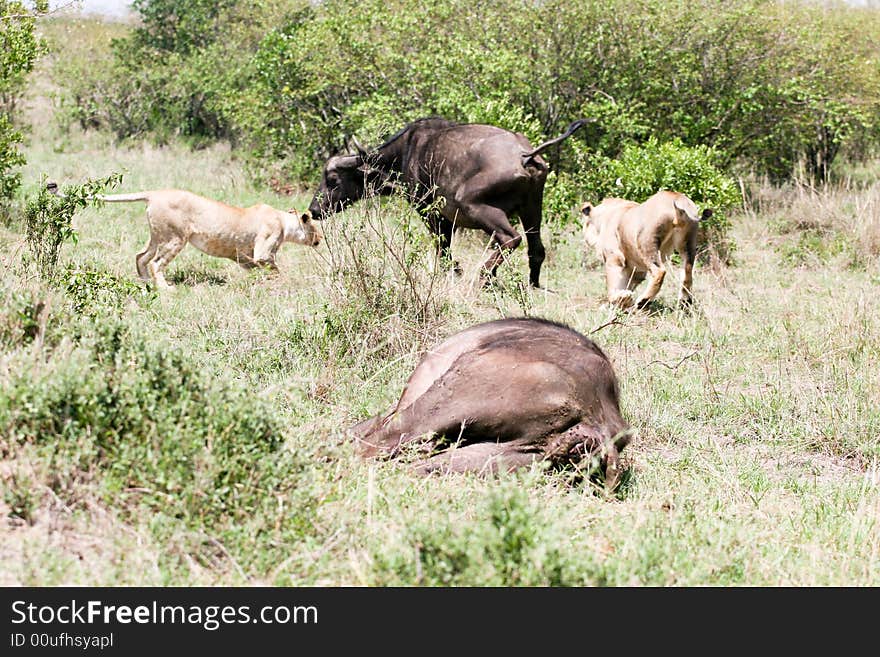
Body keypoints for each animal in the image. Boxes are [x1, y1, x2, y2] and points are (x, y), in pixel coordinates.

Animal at [92, 188, 324, 288]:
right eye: (313, 225)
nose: (320, 238)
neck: (284, 222)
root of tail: (155, 193)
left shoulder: (243, 256)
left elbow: (256, 268)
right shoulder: (263, 252)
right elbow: (275, 269)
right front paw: (283, 282)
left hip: (157, 237)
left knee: (140, 257)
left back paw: (146, 283)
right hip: (175, 238)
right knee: (155, 263)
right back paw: (165, 289)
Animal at [580, 188, 712, 308]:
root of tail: (677, 198)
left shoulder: (614, 258)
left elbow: (613, 285)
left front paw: (619, 299)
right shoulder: (636, 269)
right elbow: (628, 284)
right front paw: (624, 301)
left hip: (646, 243)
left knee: (659, 271)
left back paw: (643, 301)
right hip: (688, 244)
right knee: (687, 272)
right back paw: (685, 302)